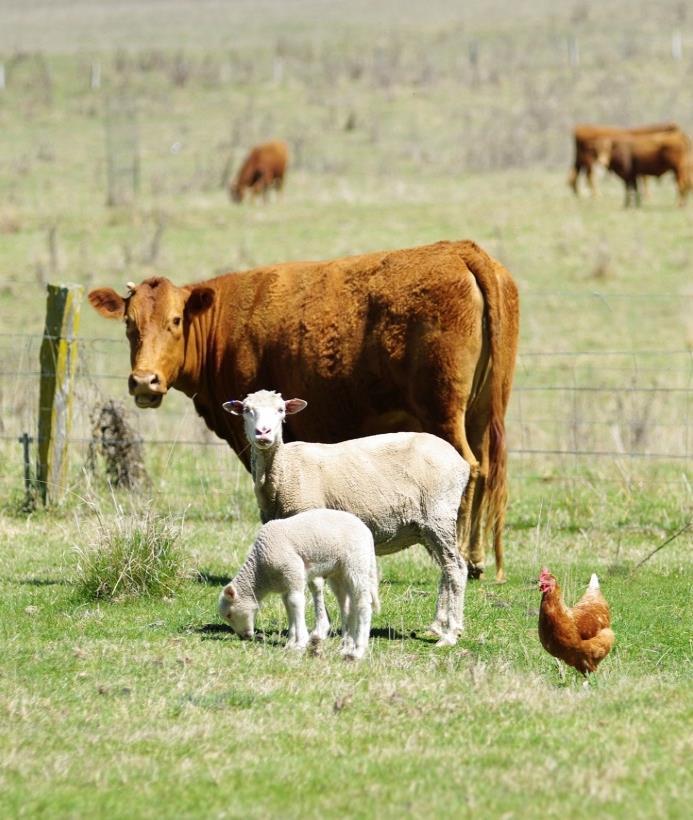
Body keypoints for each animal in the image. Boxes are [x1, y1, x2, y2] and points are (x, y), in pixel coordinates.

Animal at [88, 240, 520, 580]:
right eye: (129, 324)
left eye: (175, 320)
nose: (144, 381)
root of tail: (461, 250)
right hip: (481, 412)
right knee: (484, 469)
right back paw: (476, 558)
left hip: (443, 412)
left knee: (469, 467)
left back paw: (459, 554)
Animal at [218, 510, 378, 664]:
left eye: (229, 615)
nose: (244, 636)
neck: (260, 573)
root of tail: (367, 533)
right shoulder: (285, 583)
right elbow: (289, 606)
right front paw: (291, 642)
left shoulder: (292, 570)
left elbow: (296, 602)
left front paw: (300, 643)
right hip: (339, 572)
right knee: (347, 606)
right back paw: (345, 646)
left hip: (356, 564)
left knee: (363, 604)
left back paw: (357, 651)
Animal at [222, 388, 470, 644]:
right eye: (246, 410)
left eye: (281, 410)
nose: (263, 433)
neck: (284, 470)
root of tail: (460, 461)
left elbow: (315, 582)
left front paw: (320, 628)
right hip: (426, 527)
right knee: (445, 569)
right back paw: (437, 625)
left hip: (439, 515)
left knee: (456, 568)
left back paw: (451, 633)